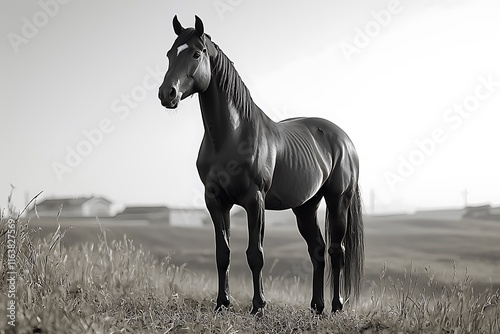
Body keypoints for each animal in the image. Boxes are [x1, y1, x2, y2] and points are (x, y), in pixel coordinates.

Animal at [158, 15, 366, 314]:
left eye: (196, 54)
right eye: (169, 54)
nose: (167, 94)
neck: (232, 136)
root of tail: (344, 139)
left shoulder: (255, 200)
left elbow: (255, 254)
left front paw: (259, 306)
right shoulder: (216, 201)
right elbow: (223, 253)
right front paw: (222, 303)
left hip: (339, 200)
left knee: (337, 251)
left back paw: (336, 306)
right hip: (306, 207)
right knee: (317, 250)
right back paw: (316, 306)